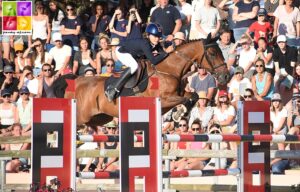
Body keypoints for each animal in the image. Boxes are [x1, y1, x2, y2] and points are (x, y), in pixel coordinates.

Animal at [52, 39, 230, 126]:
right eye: (212, 53)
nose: (226, 77)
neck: (171, 70)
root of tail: (75, 81)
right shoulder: (164, 99)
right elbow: (187, 98)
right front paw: (179, 113)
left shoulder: (178, 95)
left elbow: (193, 96)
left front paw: (181, 114)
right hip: (81, 116)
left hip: (100, 117)